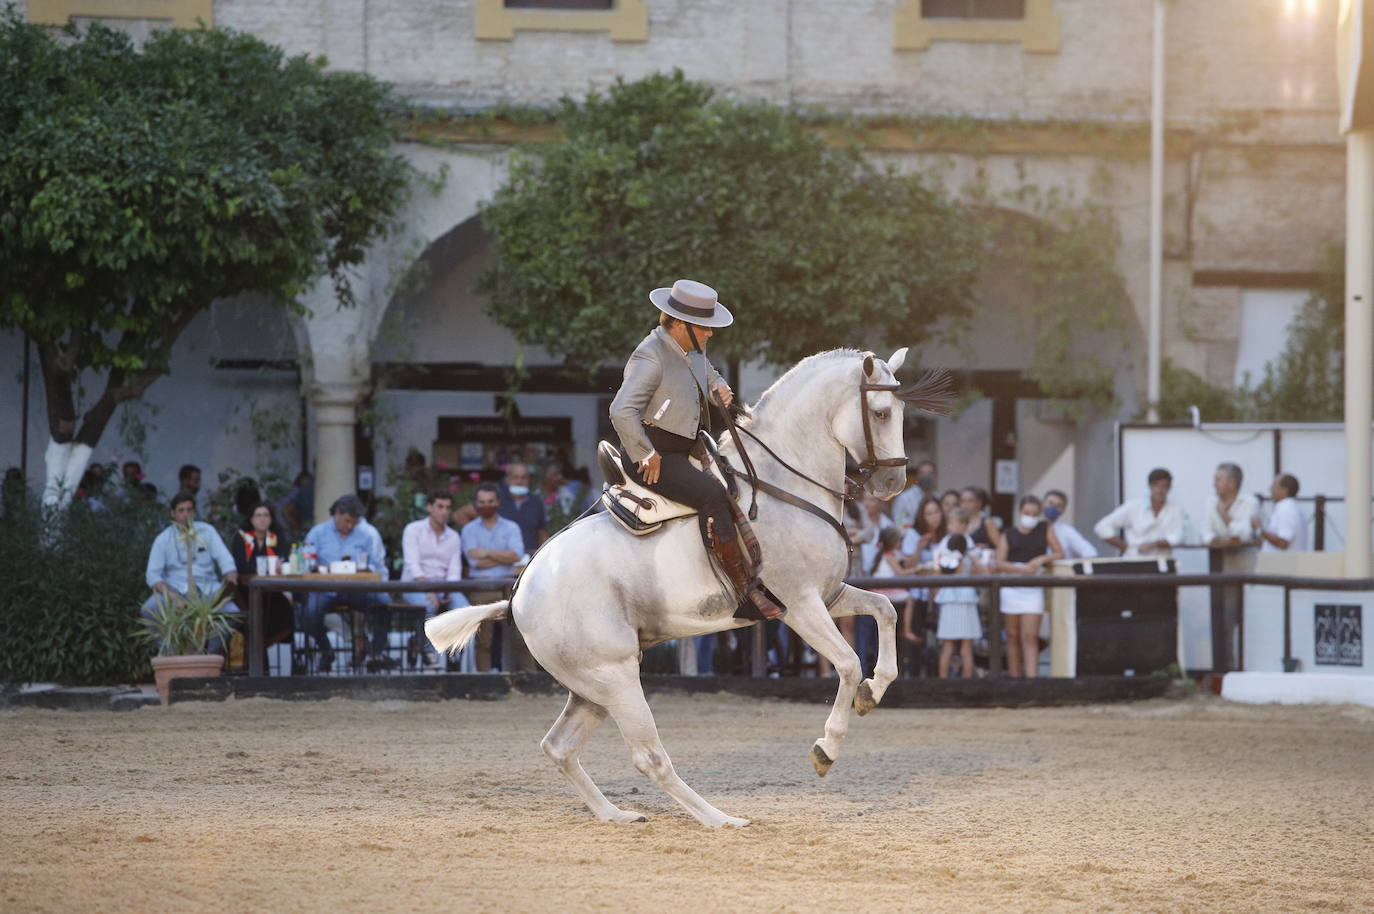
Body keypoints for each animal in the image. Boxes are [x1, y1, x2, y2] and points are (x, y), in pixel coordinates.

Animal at [428, 347, 934, 824]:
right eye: (882, 414)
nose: (893, 481)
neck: (782, 487)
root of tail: (517, 594)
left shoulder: (830, 595)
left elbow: (885, 611)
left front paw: (874, 691)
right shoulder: (800, 604)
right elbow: (847, 664)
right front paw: (827, 747)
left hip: (591, 689)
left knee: (559, 747)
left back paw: (617, 815)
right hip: (616, 679)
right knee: (648, 758)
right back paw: (720, 819)